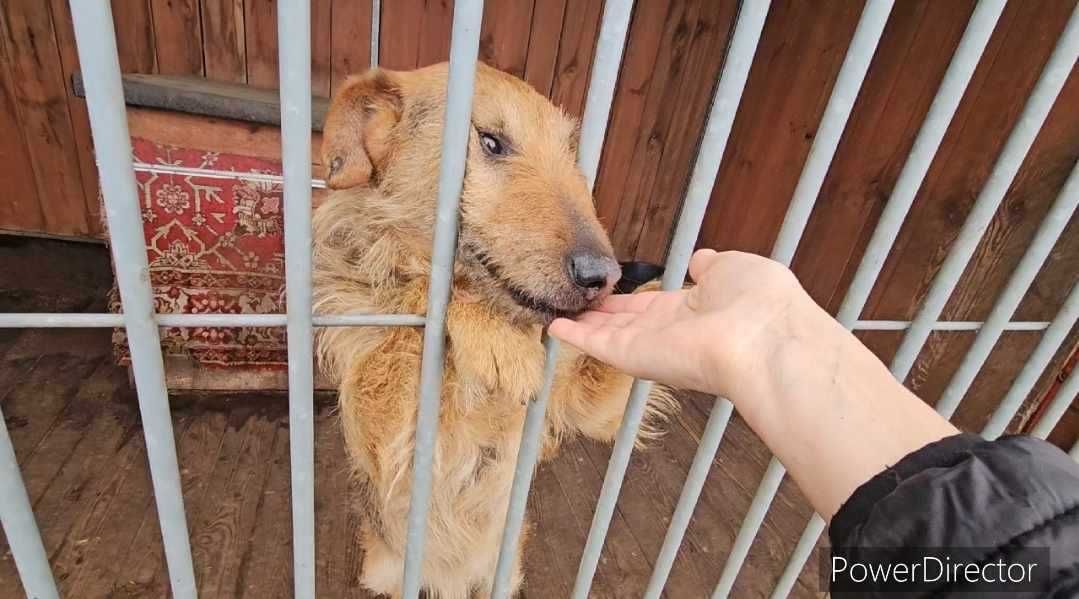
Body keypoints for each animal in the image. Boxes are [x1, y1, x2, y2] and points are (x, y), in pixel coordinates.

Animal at [312, 63, 673, 595]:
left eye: (570, 153)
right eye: (491, 142)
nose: (603, 279)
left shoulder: (584, 409)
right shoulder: (391, 442)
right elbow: (428, 292)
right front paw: (489, 329)